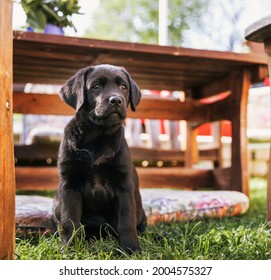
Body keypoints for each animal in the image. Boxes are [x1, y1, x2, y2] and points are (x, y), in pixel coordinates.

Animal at [52, 64, 147, 253]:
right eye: (96, 86)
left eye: (123, 87)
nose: (116, 100)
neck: (98, 137)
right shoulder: (69, 184)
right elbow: (69, 221)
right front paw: (69, 249)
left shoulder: (124, 185)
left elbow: (126, 221)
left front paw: (131, 249)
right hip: (56, 202)